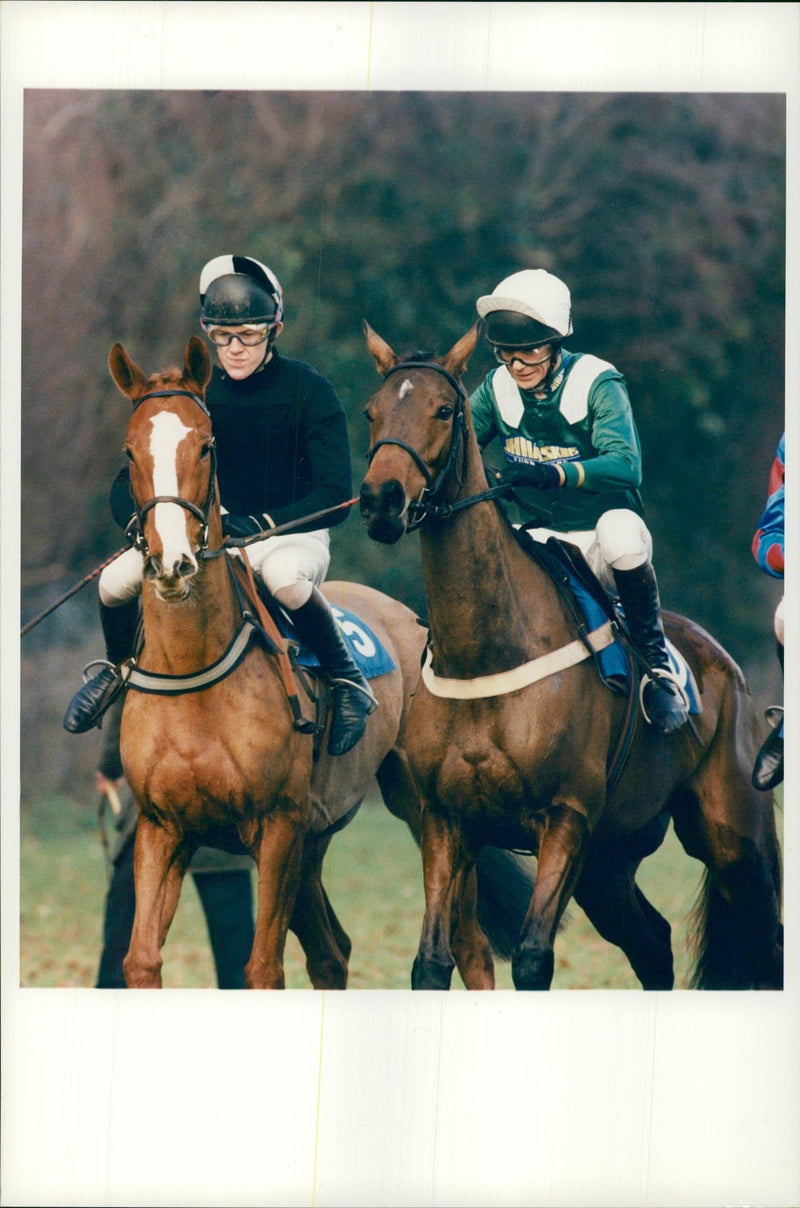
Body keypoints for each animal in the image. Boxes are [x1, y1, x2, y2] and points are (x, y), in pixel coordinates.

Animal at [108, 335, 531, 985]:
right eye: (130, 452)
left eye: (205, 445)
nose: (172, 561)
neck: (194, 671)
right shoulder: (163, 829)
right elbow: (141, 959)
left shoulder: (277, 827)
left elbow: (261, 966)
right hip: (318, 839)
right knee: (333, 952)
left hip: (422, 811)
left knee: (470, 943)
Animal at [360, 323, 787, 990]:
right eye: (371, 411)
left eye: (444, 410)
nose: (381, 500)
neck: (486, 655)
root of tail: (727, 667)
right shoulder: (445, 821)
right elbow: (430, 962)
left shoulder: (565, 818)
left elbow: (533, 958)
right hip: (611, 860)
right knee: (653, 943)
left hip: (734, 840)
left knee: (764, 944)